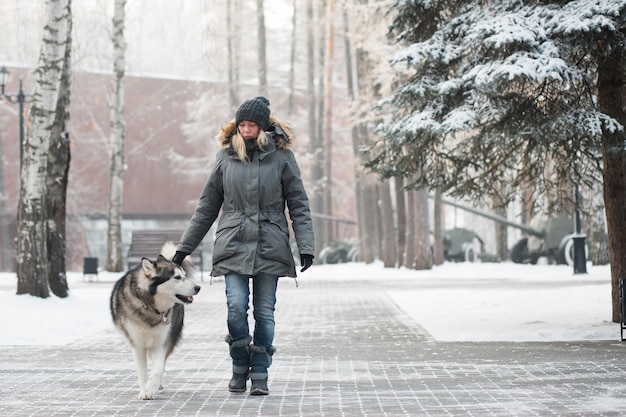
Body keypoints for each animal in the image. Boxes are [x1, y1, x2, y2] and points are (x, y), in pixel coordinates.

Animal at [109, 242, 200, 398]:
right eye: (177, 277)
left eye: (184, 276)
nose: (198, 287)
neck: (150, 306)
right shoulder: (137, 345)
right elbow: (142, 372)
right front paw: (144, 391)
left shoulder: (160, 343)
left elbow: (158, 368)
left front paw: (151, 388)